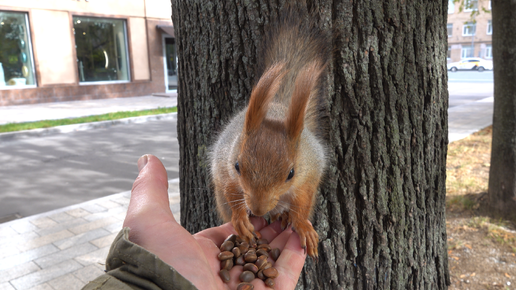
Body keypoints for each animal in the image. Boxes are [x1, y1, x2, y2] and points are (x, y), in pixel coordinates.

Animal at [210, 5, 330, 258]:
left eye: (291, 173)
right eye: (238, 166)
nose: (257, 209)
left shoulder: (309, 173)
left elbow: (303, 201)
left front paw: (303, 226)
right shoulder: (225, 167)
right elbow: (232, 190)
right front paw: (240, 218)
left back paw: (282, 215)